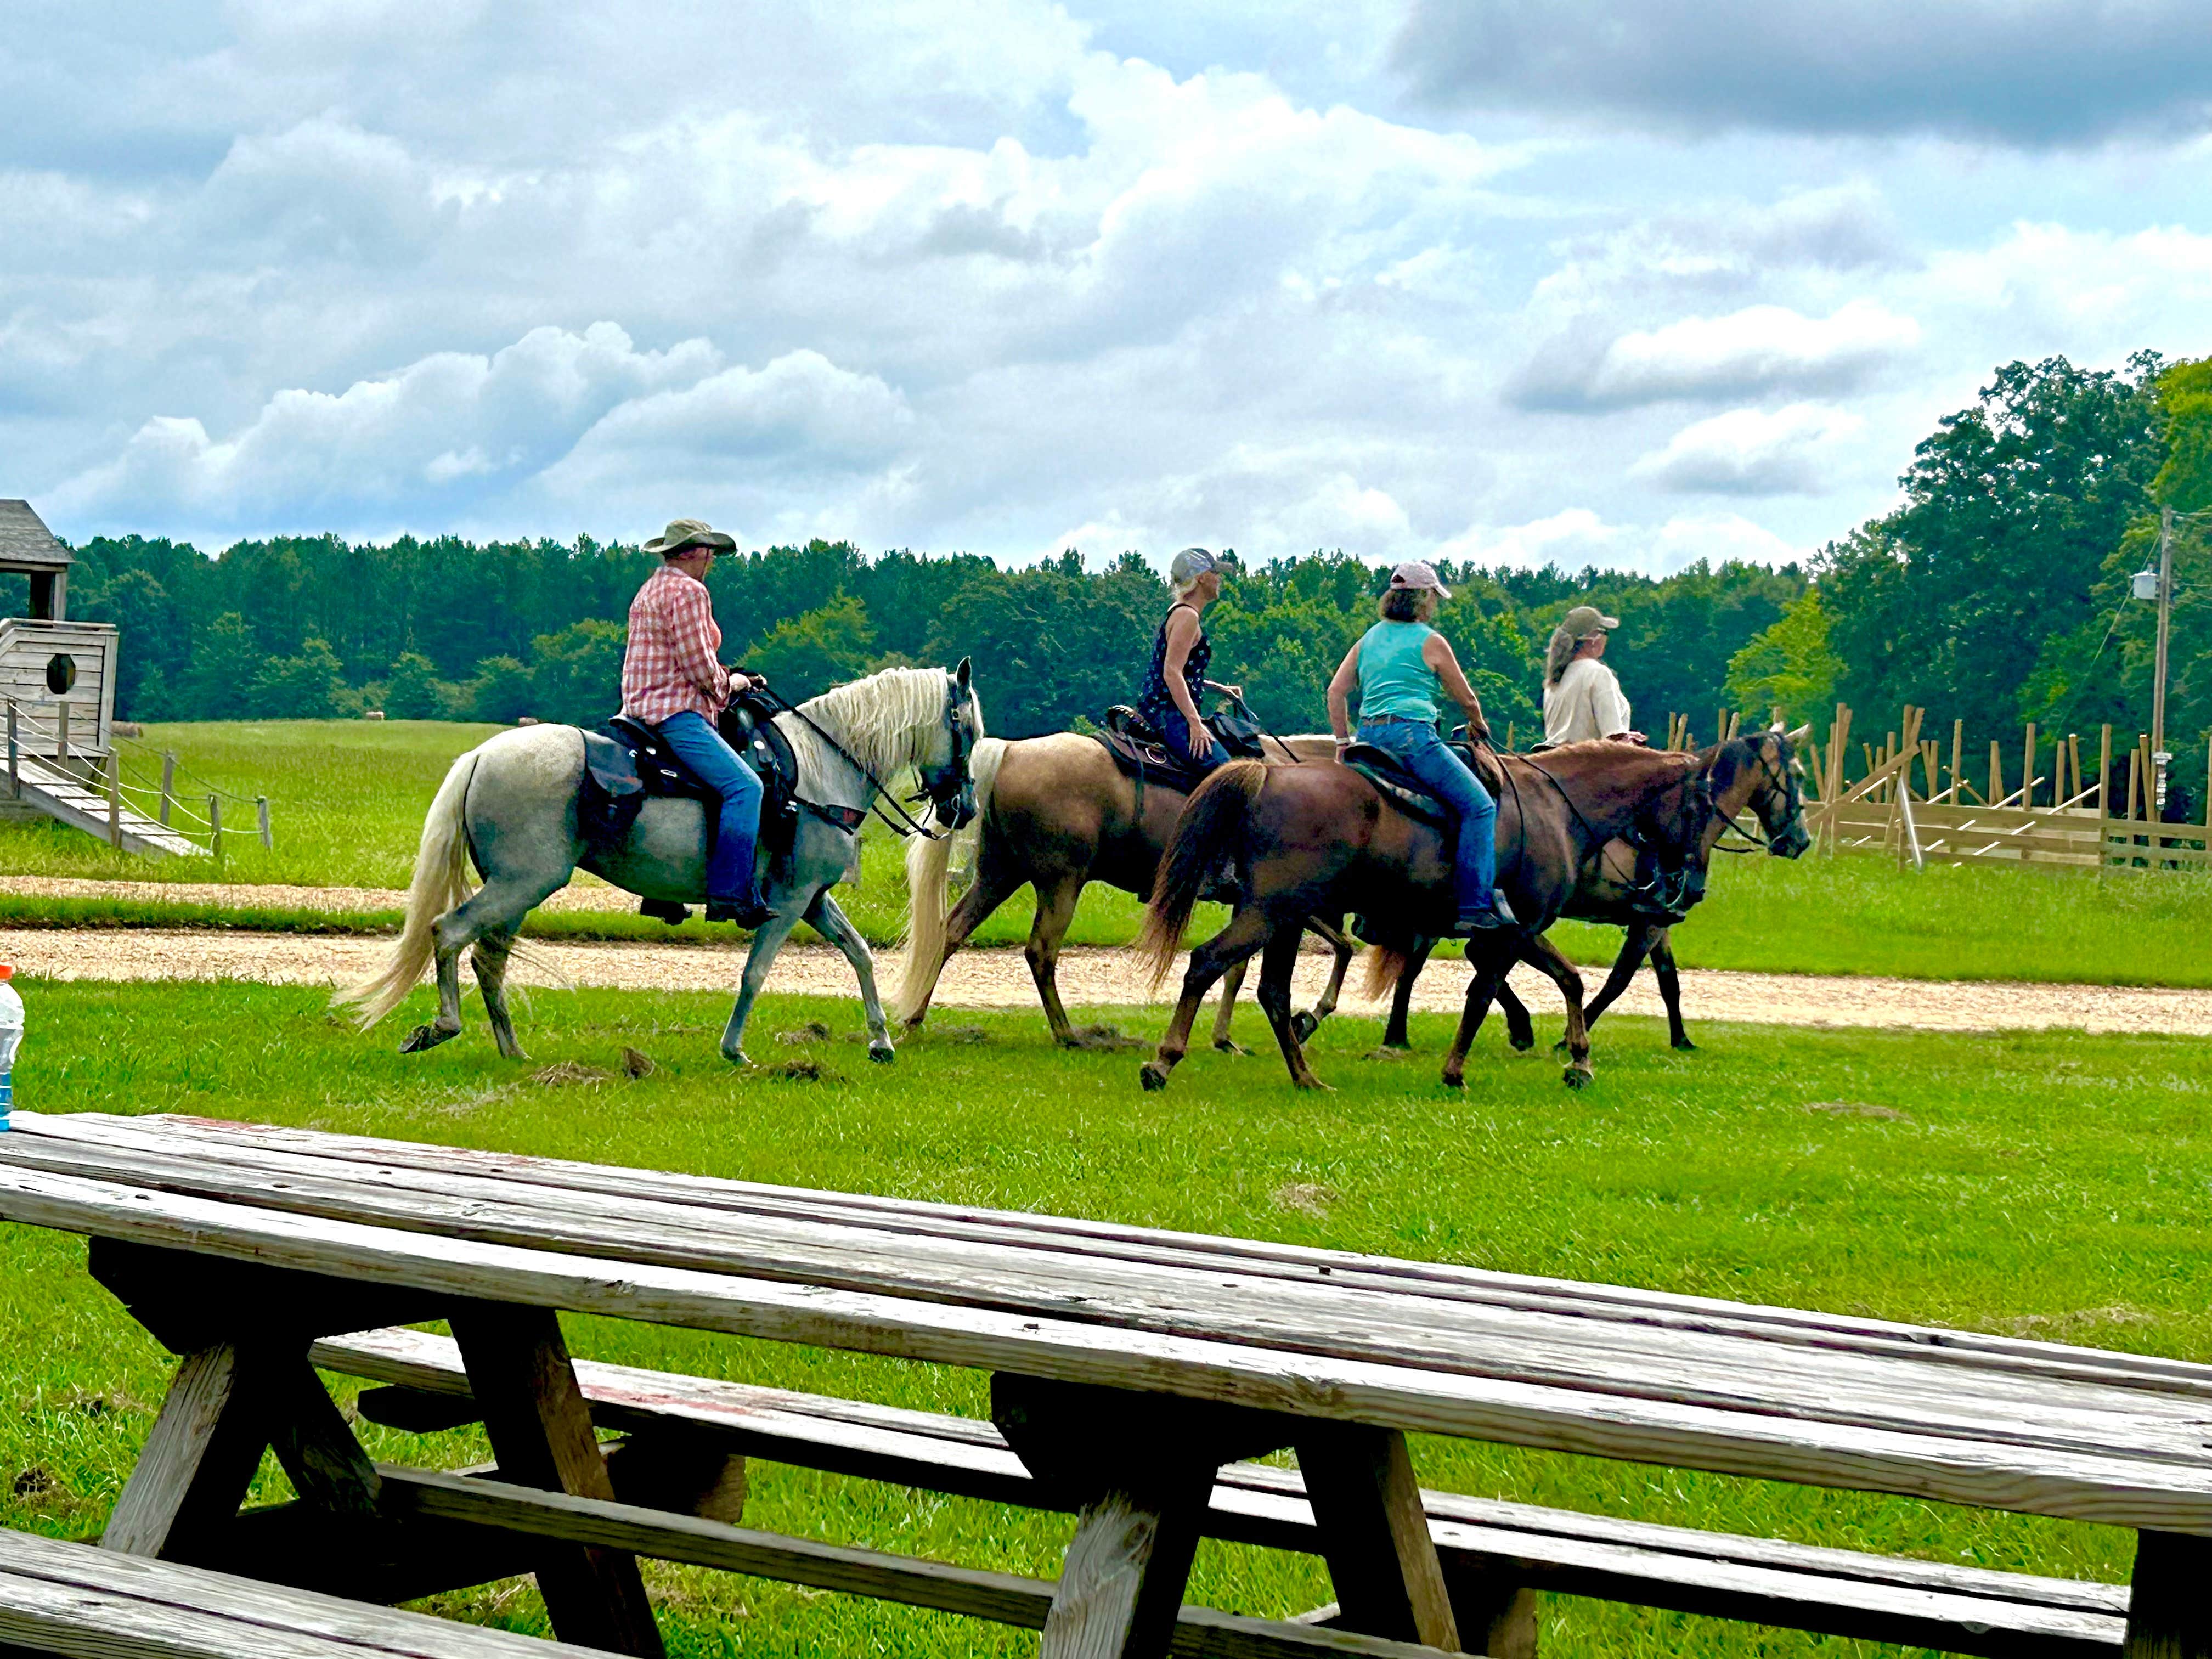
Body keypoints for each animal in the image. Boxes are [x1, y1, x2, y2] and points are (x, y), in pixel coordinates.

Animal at [334, 663, 978, 1066]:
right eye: (967, 729)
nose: (965, 808)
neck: (820, 771)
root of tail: (480, 755)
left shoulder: (814, 899)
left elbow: (860, 955)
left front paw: (881, 1043)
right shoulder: (790, 901)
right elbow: (755, 973)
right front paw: (734, 1050)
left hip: (516, 889)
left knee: (488, 960)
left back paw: (513, 1051)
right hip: (523, 883)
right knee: (449, 933)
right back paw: (441, 1028)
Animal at [884, 730, 1336, 1053]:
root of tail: (1011, 751)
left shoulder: (1258, 907)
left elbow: (1238, 967)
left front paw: (1228, 1039)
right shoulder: (1283, 904)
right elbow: (1339, 946)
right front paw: (1309, 1017)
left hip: (997, 877)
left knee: (949, 934)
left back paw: (914, 1021)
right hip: (1061, 884)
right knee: (1041, 952)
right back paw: (1067, 1034)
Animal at [1132, 747, 1716, 1097]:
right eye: (1705, 806)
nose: (1692, 887)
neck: (1557, 811)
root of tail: (1268, 774)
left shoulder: (1521, 930)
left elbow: (1569, 980)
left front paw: (1578, 1061)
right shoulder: (1515, 930)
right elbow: (1482, 996)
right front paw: (1456, 1072)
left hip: (1286, 919)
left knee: (1273, 993)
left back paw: (1306, 1077)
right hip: (1270, 913)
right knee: (1207, 963)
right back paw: (1164, 1061)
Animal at [1380, 725, 1814, 1053]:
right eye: (1799, 775)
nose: (1800, 841)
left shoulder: (1659, 923)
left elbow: (1669, 981)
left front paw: (1681, 1039)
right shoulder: (1649, 924)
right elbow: (1619, 980)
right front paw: (1573, 1033)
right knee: (1426, 963)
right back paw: (1404, 1035)